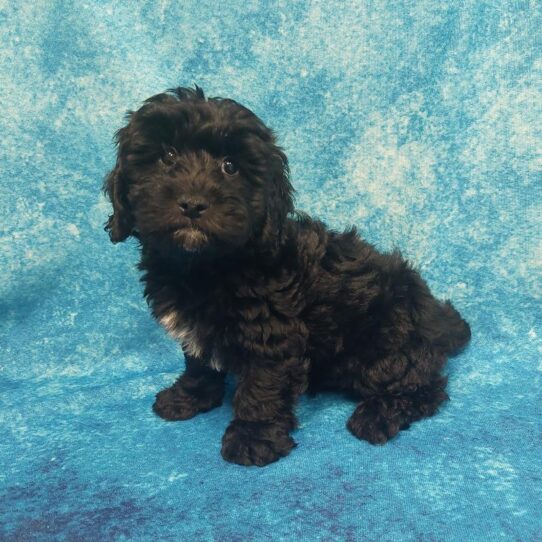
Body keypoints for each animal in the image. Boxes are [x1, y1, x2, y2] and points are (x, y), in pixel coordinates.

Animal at [103, 85, 472, 468]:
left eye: (230, 167)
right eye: (167, 156)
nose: (192, 203)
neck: (206, 265)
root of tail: (433, 315)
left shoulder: (273, 335)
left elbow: (262, 387)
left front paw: (254, 438)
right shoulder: (197, 329)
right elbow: (199, 363)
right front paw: (189, 397)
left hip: (384, 345)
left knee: (425, 386)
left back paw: (377, 416)